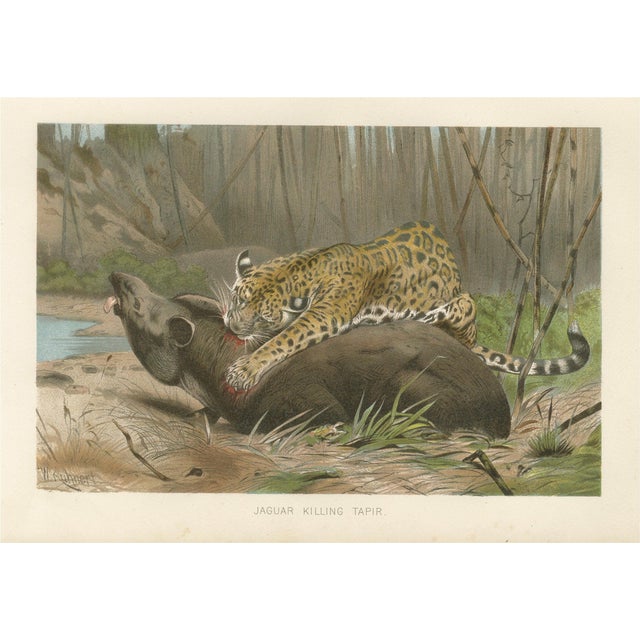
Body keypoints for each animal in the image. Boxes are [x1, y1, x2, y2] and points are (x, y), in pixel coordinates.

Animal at [223, 221, 590, 390]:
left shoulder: (326, 314)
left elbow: (285, 339)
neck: (300, 268)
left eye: (260, 317)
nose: (231, 326)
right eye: (237, 299)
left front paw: (245, 370)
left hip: (464, 303)